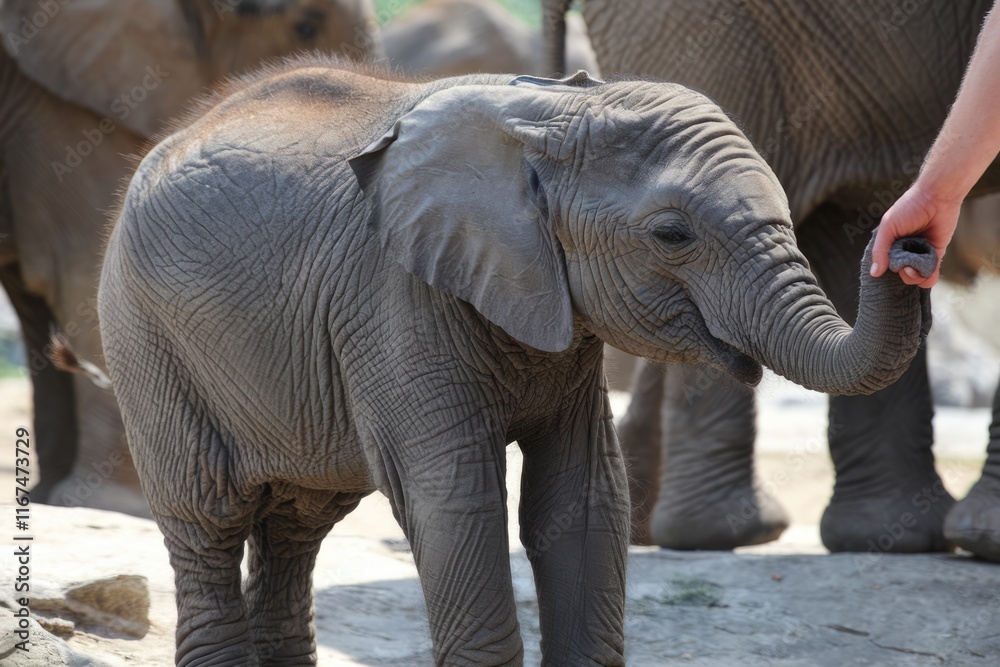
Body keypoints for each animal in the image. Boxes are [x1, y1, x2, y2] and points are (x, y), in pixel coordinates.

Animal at [92, 57, 933, 664]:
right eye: (672, 235)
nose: (908, 244)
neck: (555, 114)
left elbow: (585, 498)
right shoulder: (397, 295)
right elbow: (455, 498)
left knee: (298, 524)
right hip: (143, 333)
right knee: (208, 516)